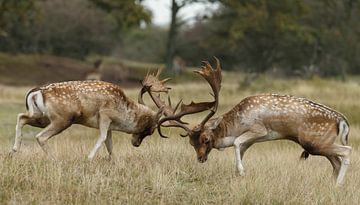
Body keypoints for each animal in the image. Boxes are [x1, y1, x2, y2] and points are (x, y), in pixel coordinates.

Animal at [9, 74, 170, 160]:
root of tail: (36, 91)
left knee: (21, 116)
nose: (136, 144)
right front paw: (89, 158)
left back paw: (14, 149)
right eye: (151, 130)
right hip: (62, 119)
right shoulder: (105, 116)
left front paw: (112, 161)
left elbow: (110, 144)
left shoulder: (110, 125)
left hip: (41, 117)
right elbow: (103, 138)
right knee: (40, 136)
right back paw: (55, 160)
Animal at [156, 58, 350, 186]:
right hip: (320, 144)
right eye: (191, 143)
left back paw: (338, 185)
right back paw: (332, 185)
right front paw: (237, 173)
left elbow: (236, 143)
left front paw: (242, 172)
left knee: (347, 151)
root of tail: (341, 120)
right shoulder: (251, 140)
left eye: (205, 139)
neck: (237, 122)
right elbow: (240, 149)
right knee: (336, 162)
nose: (201, 158)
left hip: (314, 142)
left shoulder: (259, 130)